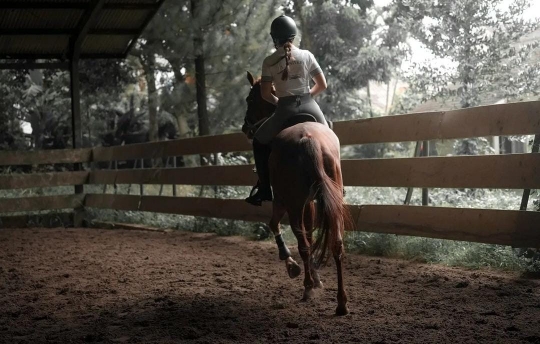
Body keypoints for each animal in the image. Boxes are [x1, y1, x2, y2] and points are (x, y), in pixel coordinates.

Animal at [244, 71, 352, 316]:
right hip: (328, 203)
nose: (246, 128)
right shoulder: (309, 203)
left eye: (250, 100)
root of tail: (308, 139)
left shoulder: (282, 201)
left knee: (301, 242)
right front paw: (317, 277)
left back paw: (307, 287)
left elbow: (273, 224)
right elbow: (311, 236)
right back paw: (341, 303)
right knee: (335, 244)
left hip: (291, 205)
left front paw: (291, 265)